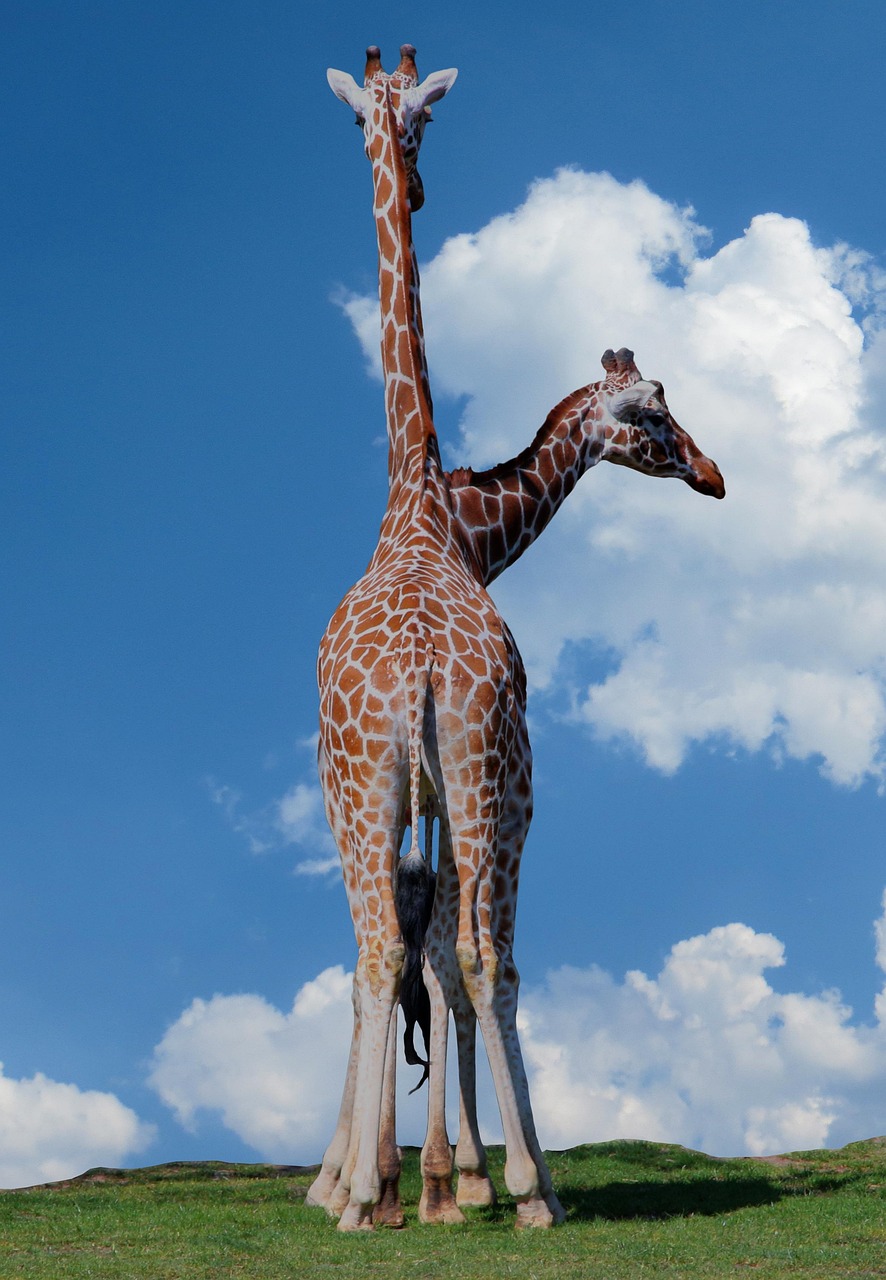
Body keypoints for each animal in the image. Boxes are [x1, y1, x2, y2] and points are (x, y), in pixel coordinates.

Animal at [309, 45, 725, 1231]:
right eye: (654, 407)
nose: (715, 472)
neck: (432, 512)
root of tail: (413, 670)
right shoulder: (487, 786)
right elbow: (458, 956)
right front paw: (452, 1177)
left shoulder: (422, 792)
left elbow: (419, 951)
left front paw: (419, 1179)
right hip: (471, 781)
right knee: (468, 951)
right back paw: (508, 1185)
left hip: (382, 785)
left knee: (389, 948)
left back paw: (369, 1189)